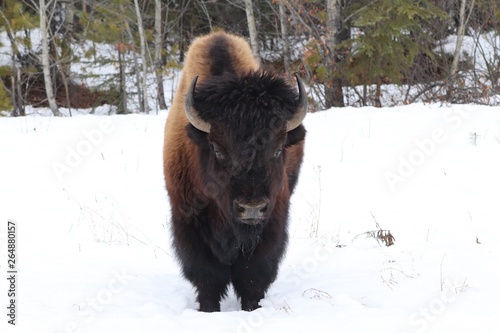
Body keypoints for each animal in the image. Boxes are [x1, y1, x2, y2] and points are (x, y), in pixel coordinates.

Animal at [162, 31, 306, 312]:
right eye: (218, 150)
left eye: (277, 149)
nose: (251, 208)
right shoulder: (187, 221)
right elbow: (208, 277)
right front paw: (208, 310)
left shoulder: (272, 220)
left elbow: (252, 276)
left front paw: (252, 308)